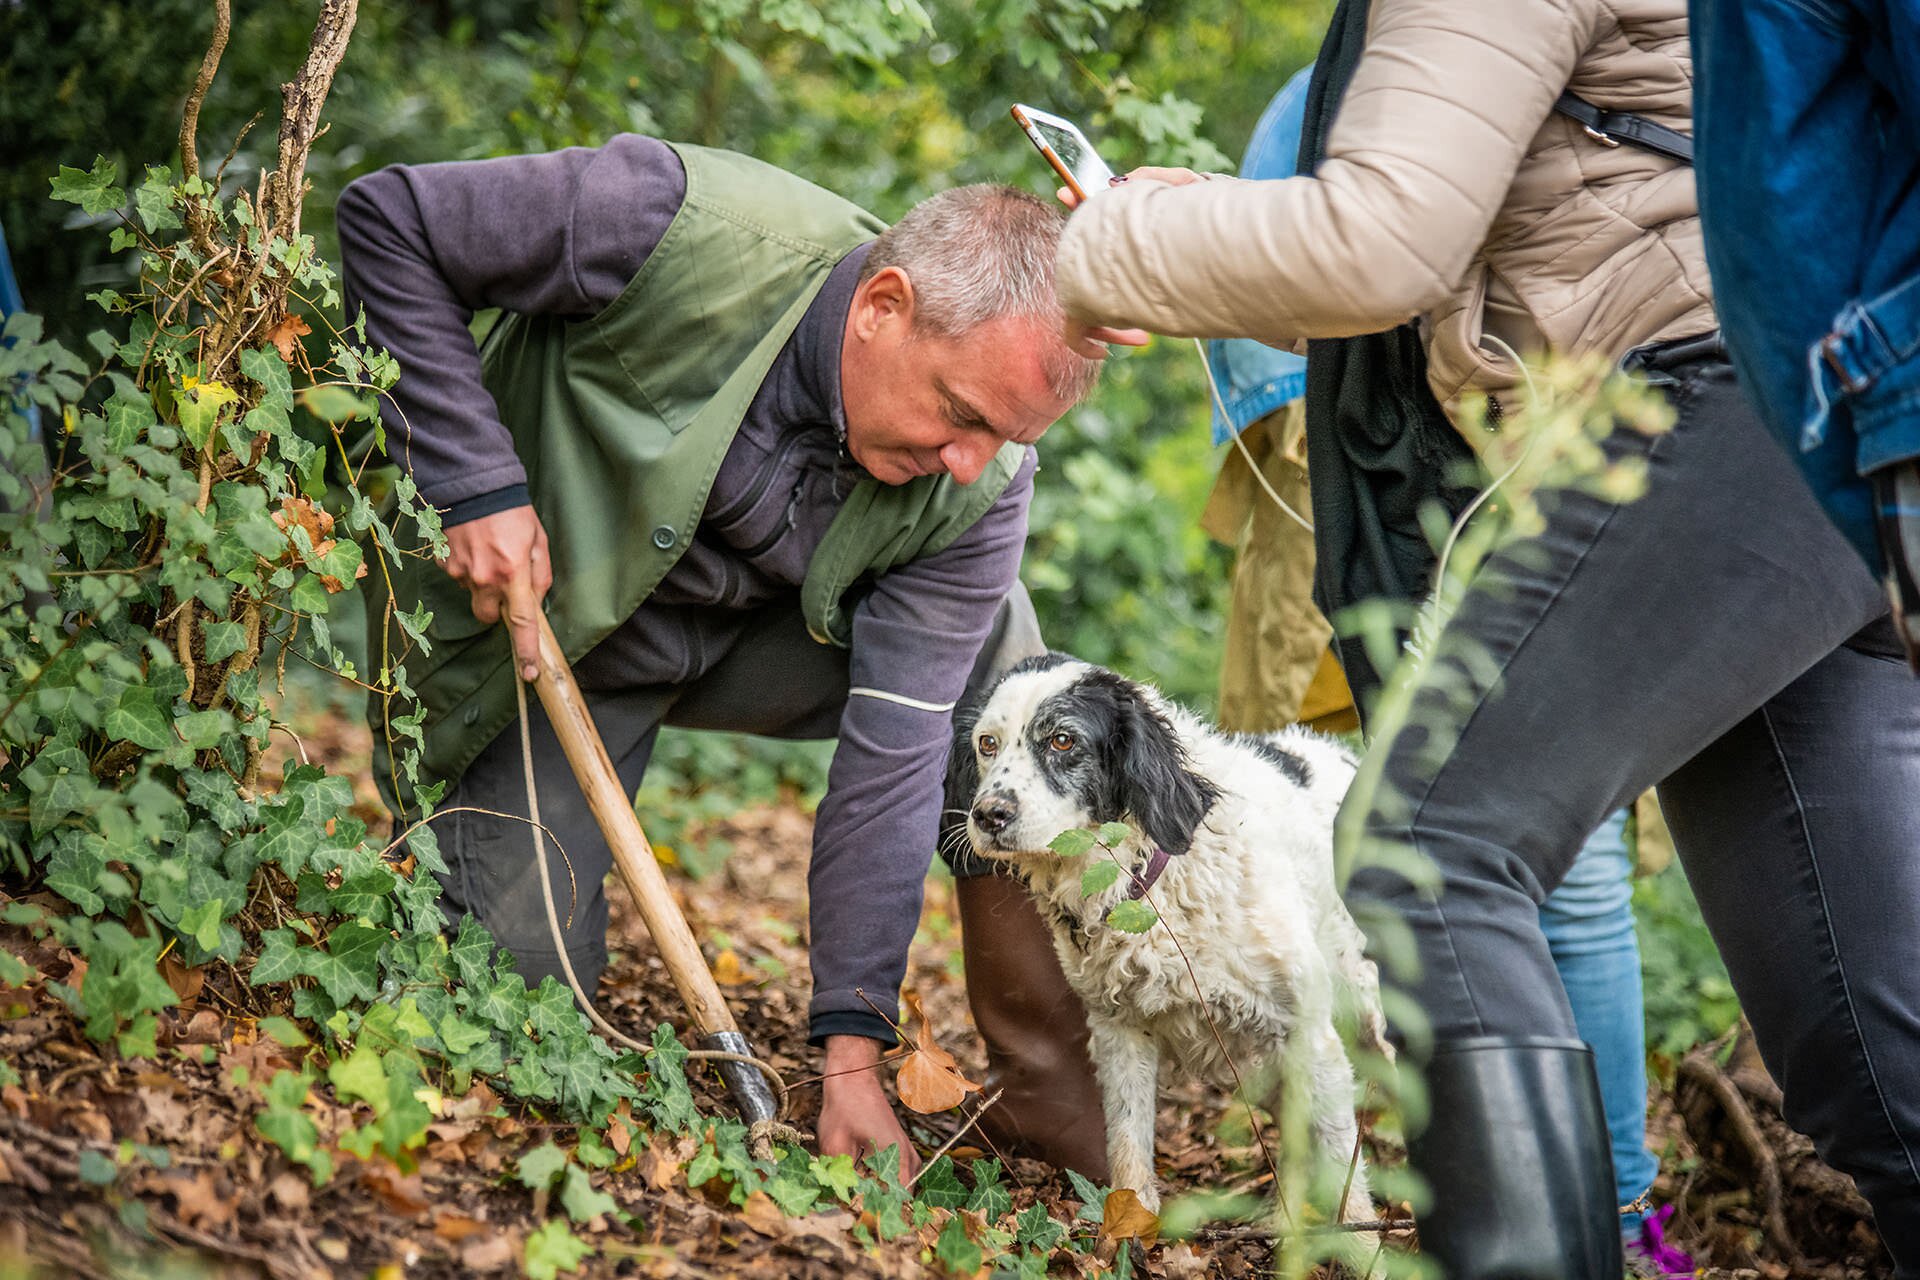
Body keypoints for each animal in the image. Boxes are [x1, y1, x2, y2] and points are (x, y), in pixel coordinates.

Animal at [940, 656, 1382, 1228]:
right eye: (987, 744)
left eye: (1062, 739)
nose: (989, 814)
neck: (1146, 879)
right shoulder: (1119, 1029)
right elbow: (1128, 1140)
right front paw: (1128, 1229)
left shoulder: (1309, 1032)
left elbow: (1341, 1162)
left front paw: (1361, 1239)